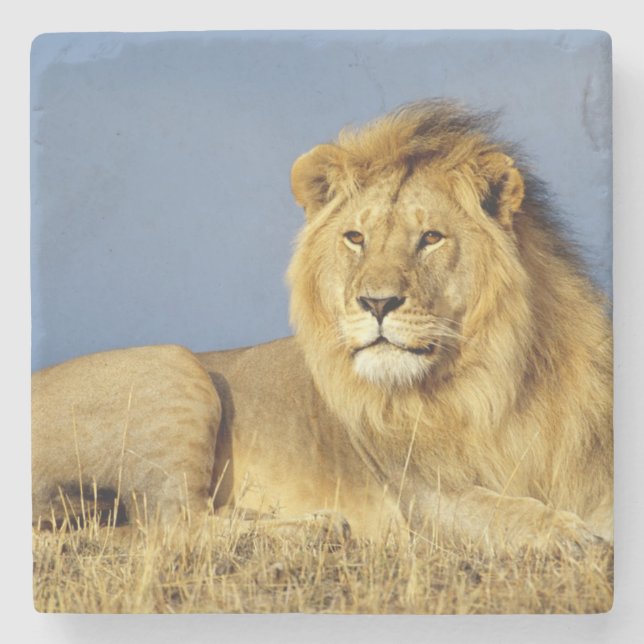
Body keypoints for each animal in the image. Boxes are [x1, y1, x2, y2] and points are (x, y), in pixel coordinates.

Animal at [32, 100, 612, 552]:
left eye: (431, 238)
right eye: (355, 237)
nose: (376, 302)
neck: (495, 380)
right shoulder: (425, 497)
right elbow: (510, 514)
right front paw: (574, 535)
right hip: (171, 365)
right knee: (171, 527)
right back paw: (316, 528)